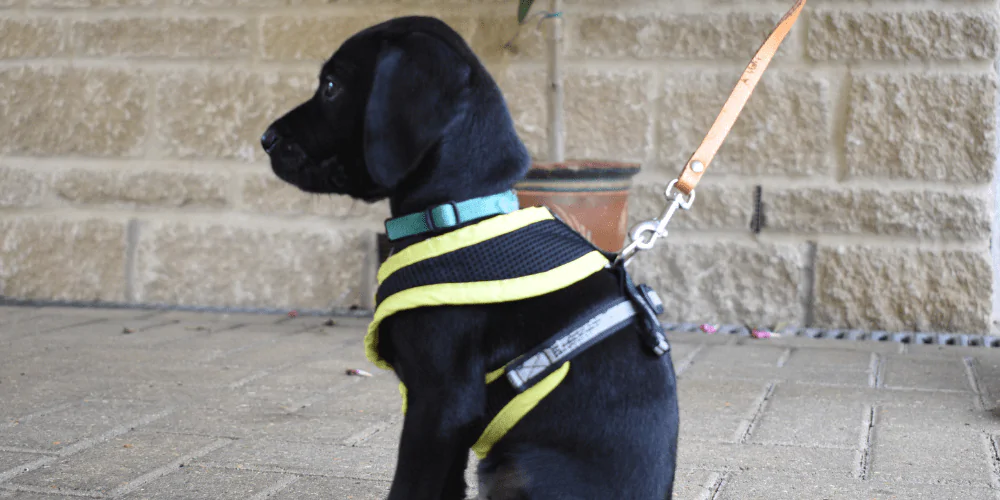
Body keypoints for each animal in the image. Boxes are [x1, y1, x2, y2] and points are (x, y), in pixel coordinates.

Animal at [260, 15, 680, 500]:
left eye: (330, 86)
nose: (265, 139)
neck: (456, 209)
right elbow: (445, 487)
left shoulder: (441, 404)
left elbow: (410, 485)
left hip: (515, 467)